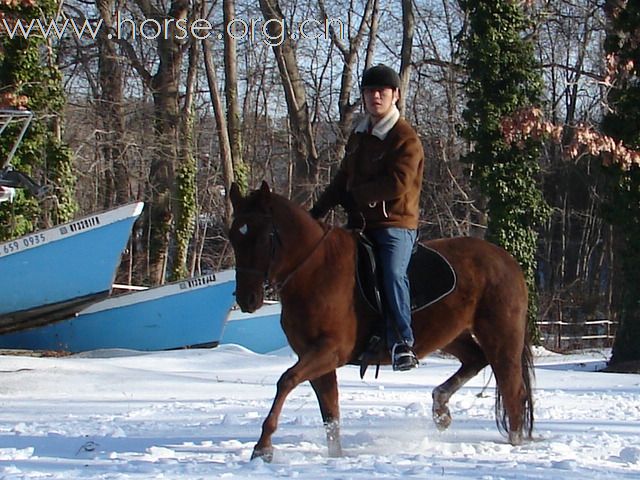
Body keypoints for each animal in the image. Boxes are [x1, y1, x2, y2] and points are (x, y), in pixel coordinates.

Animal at [228, 181, 532, 462]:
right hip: (450, 334)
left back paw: (514, 441)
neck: (314, 271)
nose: (247, 299)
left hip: (501, 337)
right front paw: (335, 456)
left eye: (263, 236)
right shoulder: (316, 359)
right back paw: (441, 410)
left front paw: (263, 447)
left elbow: (286, 381)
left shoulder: (328, 352)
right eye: (234, 237)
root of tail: (506, 260)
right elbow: (330, 413)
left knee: (511, 388)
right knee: (475, 359)